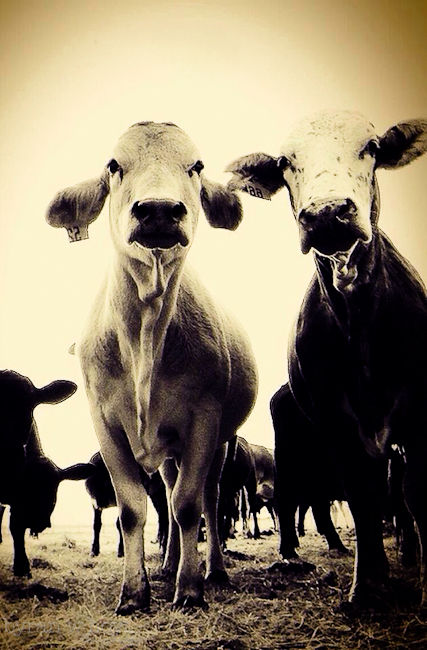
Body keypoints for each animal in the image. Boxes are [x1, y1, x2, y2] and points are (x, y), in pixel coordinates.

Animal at [45, 122, 258, 614]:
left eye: (196, 166)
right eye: (114, 164)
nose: (159, 210)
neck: (145, 331)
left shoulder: (204, 419)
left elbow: (188, 506)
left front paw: (191, 589)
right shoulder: (105, 423)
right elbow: (133, 510)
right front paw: (134, 591)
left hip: (223, 440)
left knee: (208, 499)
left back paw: (212, 569)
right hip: (169, 449)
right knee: (172, 491)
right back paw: (168, 565)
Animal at [226, 111, 427, 609]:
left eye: (371, 147)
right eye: (285, 162)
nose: (326, 213)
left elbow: (412, 493)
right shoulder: (337, 422)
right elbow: (361, 493)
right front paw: (368, 587)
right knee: (299, 498)